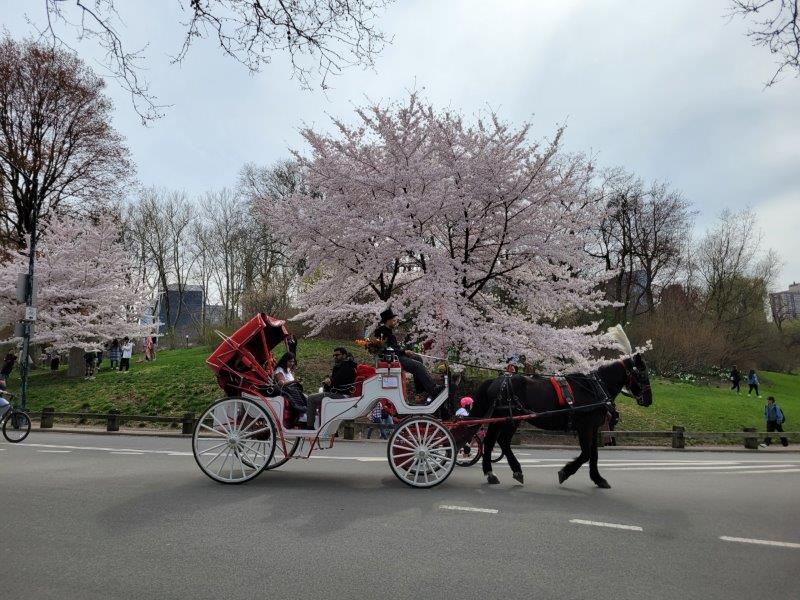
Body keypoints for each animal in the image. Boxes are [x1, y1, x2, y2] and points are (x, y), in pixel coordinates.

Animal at [460, 356, 652, 488]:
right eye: (642, 375)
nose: (649, 400)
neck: (595, 388)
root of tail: (498, 380)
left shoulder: (593, 428)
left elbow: (594, 454)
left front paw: (598, 478)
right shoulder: (584, 427)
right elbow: (586, 454)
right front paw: (565, 472)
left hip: (500, 419)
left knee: (490, 441)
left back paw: (490, 473)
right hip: (510, 419)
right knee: (503, 441)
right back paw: (515, 470)